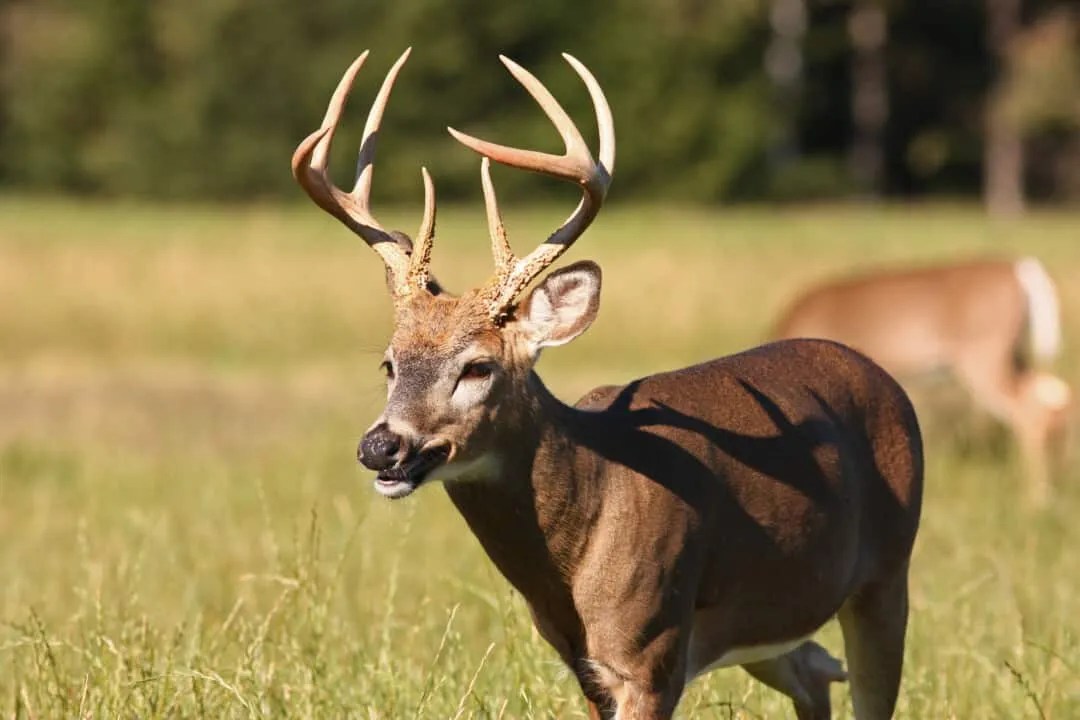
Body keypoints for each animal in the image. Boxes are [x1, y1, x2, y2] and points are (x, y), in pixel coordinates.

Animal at [292, 48, 923, 720]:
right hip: (773, 621)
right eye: (389, 363)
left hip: (887, 575)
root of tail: (876, 372)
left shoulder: (654, 651)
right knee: (814, 671)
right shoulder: (586, 666)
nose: (380, 446)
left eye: (478, 367)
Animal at [773, 258, 1072, 503]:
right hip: (1013, 354)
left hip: (984, 353)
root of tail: (1023, 271)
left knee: (1030, 410)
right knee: (1051, 394)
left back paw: (1036, 497)